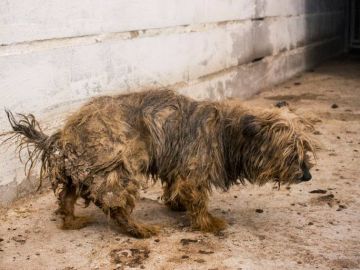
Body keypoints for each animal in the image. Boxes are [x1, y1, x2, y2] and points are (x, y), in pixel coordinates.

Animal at [0, 90, 316, 238]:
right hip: (120, 169)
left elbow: (175, 187)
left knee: (66, 199)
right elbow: (198, 201)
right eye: (291, 153)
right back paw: (140, 230)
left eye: (305, 149)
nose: (308, 176)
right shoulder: (193, 173)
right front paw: (208, 223)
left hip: (78, 173)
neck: (227, 131)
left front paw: (175, 204)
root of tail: (64, 134)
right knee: (116, 206)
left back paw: (72, 221)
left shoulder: (176, 166)